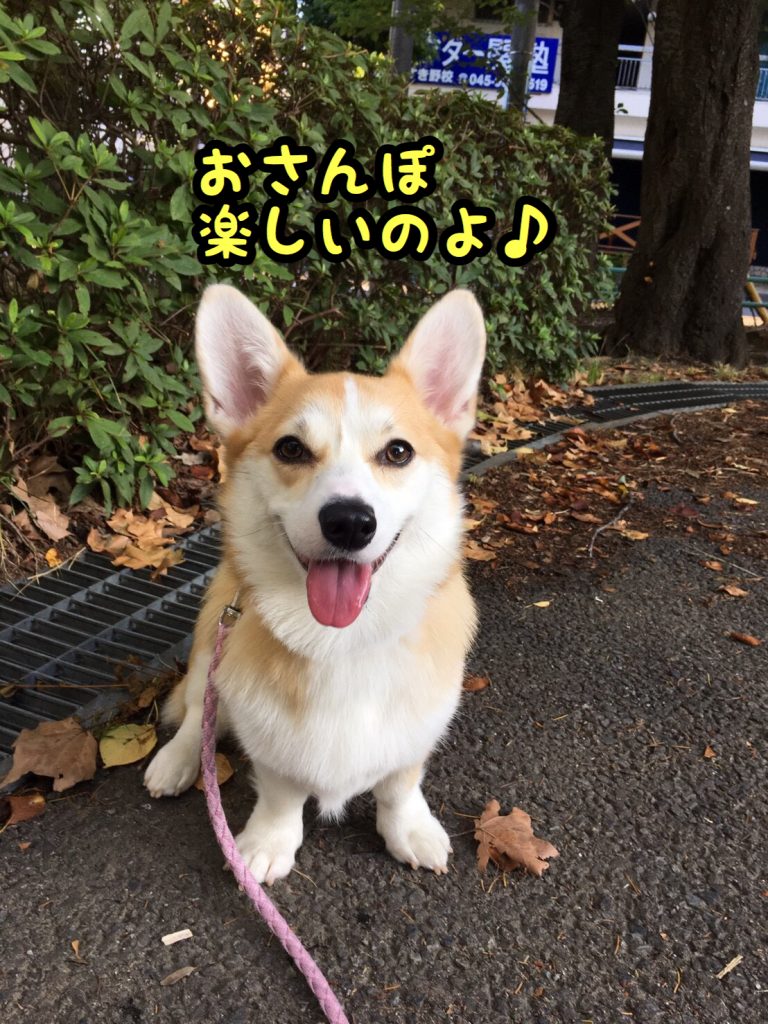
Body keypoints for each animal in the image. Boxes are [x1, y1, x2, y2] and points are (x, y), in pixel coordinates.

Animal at [144, 283, 486, 884]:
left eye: (398, 451)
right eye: (291, 449)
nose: (349, 522)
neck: (342, 639)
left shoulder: (418, 726)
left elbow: (400, 784)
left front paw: (409, 830)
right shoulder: (268, 733)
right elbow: (281, 791)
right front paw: (267, 844)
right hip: (211, 645)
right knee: (196, 717)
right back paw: (176, 762)